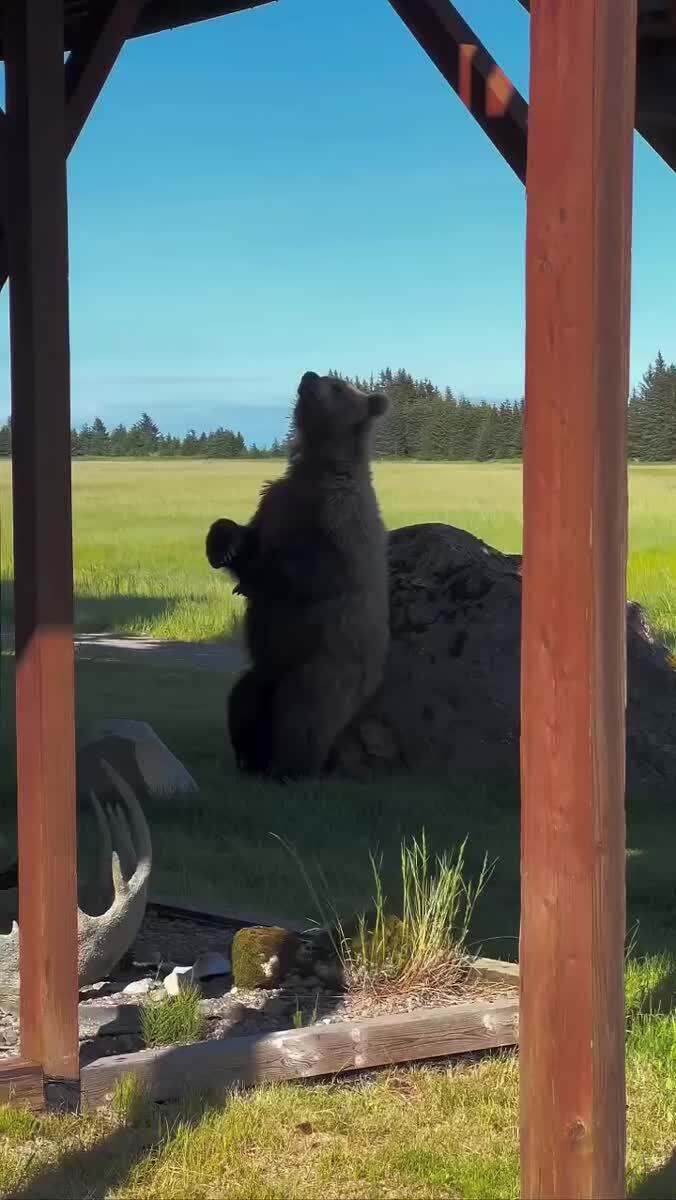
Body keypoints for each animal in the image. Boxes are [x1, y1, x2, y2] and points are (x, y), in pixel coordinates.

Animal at [206, 370, 390, 781]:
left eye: (337, 385)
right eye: (327, 375)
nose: (308, 376)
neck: (317, 467)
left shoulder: (342, 521)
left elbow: (315, 567)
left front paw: (254, 579)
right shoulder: (275, 503)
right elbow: (248, 537)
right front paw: (223, 544)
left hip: (325, 667)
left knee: (301, 715)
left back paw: (290, 769)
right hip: (265, 671)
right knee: (243, 701)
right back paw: (250, 759)